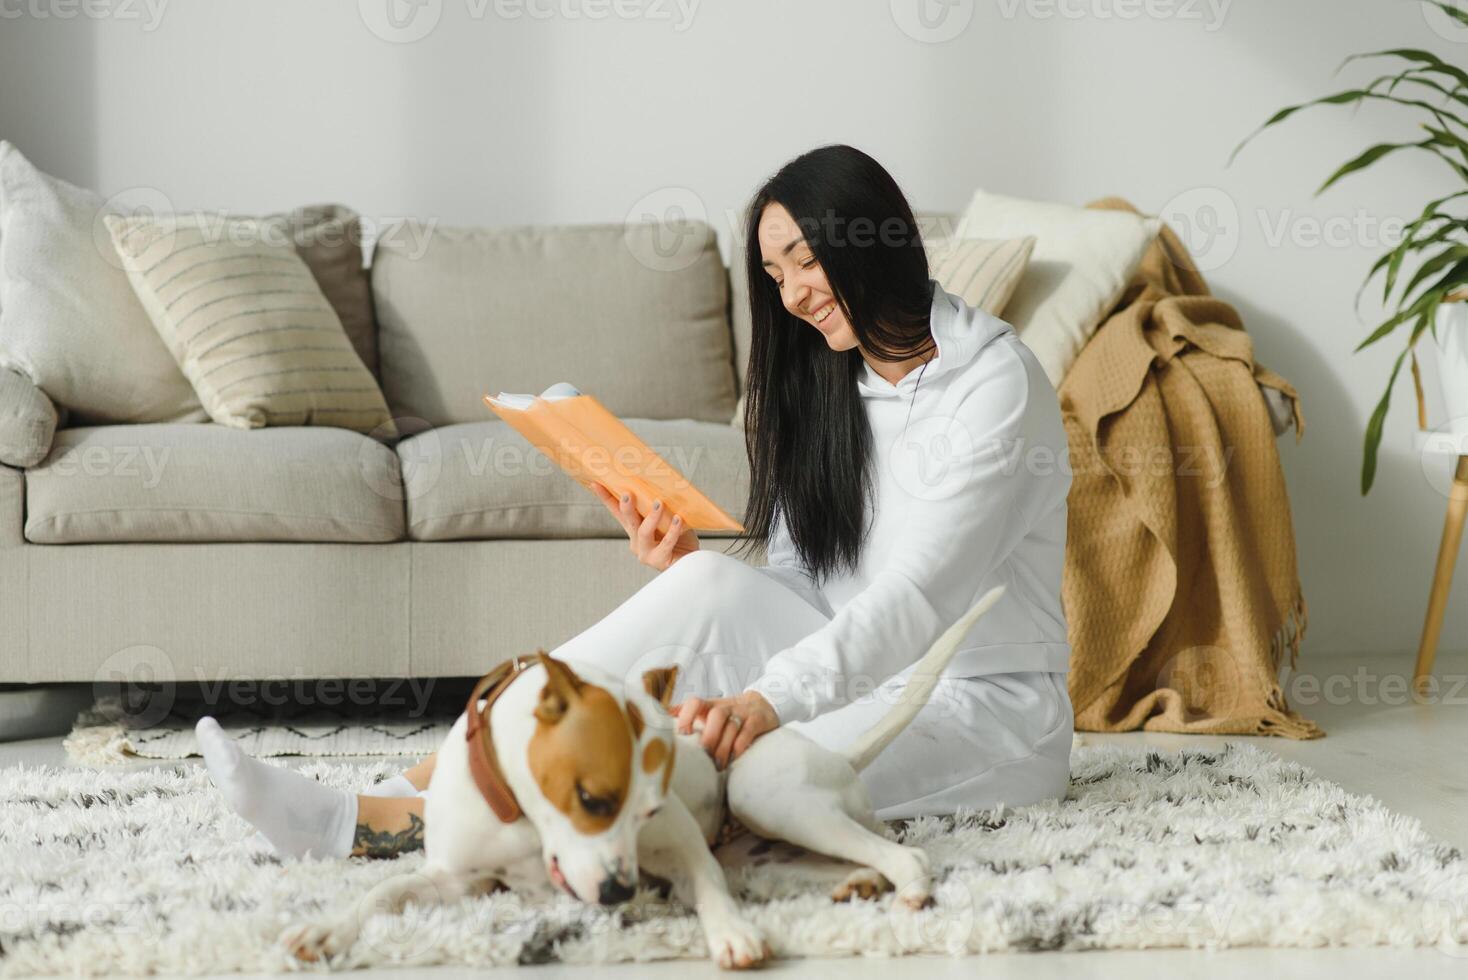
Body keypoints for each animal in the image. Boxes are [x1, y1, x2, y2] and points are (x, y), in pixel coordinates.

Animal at [280, 586, 1004, 968]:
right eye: (592, 799)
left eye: (647, 810)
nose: (619, 893)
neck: (526, 820)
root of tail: (841, 758)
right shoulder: (452, 881)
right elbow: (383, 895)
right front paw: (325, 930)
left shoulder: (683, 847)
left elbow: (708, 889)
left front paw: (733, 935)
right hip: (771, 858)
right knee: (847, 859)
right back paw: (857, 884)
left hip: (762, 793)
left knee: (905, 853)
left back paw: (907, 889)